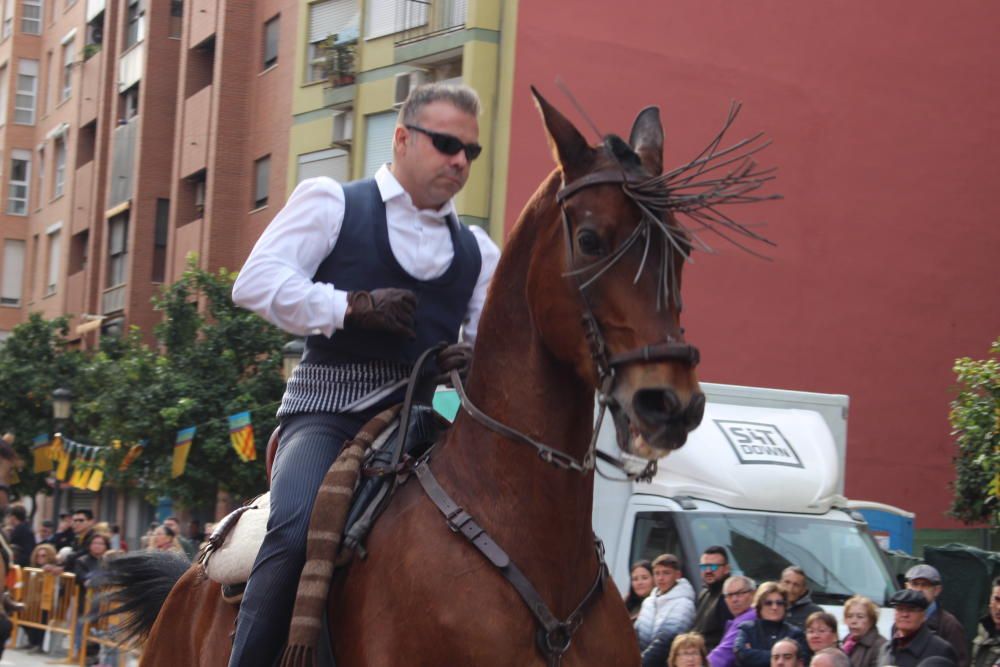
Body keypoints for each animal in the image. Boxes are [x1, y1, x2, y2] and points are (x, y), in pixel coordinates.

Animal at [109, 90, 752, 667]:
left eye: (682, 248)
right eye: (591, 239)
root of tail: (190, 572)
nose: (669, 402)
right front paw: (378, 307)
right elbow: (264, 276)